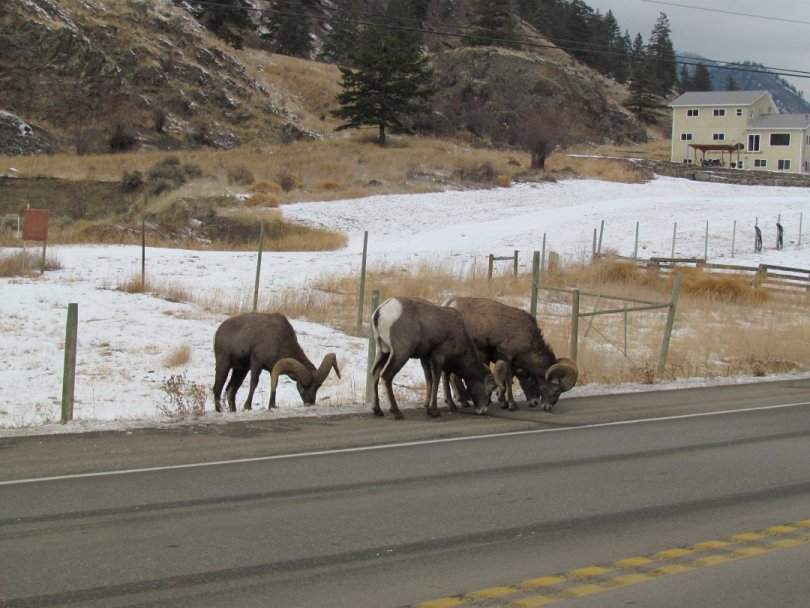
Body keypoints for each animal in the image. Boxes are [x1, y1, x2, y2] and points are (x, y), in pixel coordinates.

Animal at [443, 296, 578, 411]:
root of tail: (451, 305)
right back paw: (458, 402)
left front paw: (501, 401)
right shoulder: (506, 357)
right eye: (556, 390)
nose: (546, 406)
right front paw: (511, 404)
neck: (527, 338)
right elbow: (507, 379)